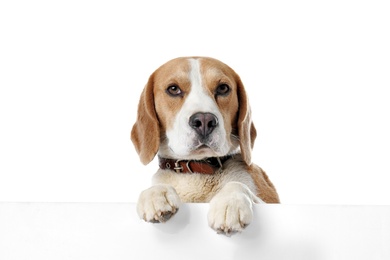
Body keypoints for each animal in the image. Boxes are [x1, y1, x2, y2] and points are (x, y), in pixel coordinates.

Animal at [133, 57, 278, 236]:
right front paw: (156, 193)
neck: (198, 171)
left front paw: (230, 203)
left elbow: (238, 185)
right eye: (173, 89)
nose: (204, 120)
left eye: (223, 88)